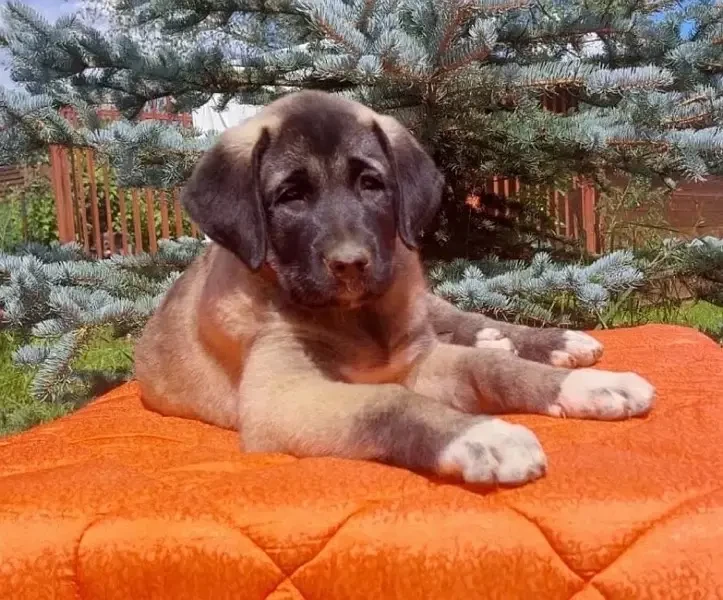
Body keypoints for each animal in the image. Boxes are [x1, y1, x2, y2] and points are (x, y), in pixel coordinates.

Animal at [132, 91, 656, 486]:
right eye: (290, 197)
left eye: (371, 184)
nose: (350, 264)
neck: (356, 318)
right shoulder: (281, 397)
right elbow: (388, 401)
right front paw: (483, 437)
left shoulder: (417, 359)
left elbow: (494, 370)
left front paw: (589, 386)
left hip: (421, 297)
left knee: (469, 322)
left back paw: (548, 342)